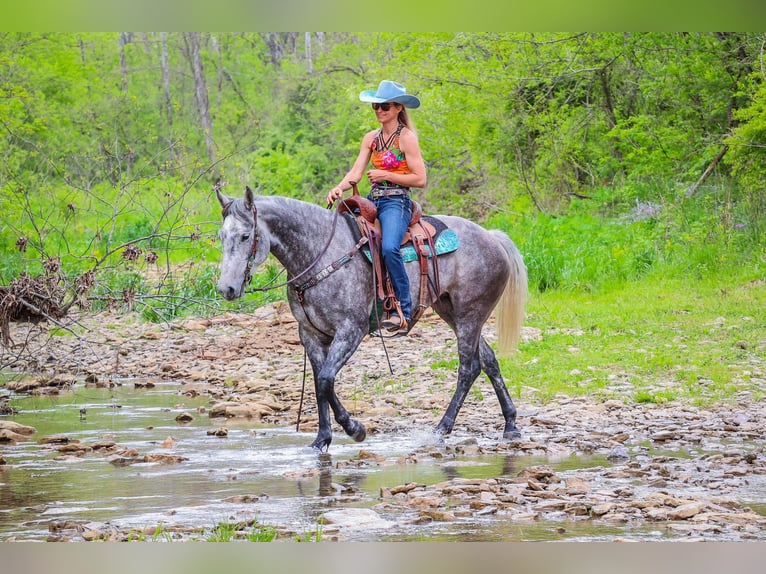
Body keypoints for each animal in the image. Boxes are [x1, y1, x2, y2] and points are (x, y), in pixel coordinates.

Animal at [216, 187, 528, 452]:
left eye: (246, 236)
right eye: (221, 236)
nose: (226, 289)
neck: (318, 254)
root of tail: (491, 237)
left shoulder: (351, 331)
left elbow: (326, 380)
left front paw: (355, 429)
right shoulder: (311, 335)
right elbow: (319, 385)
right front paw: (321, 440)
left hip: (469, 315)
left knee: (468, 367)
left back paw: (442, 428)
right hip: (452, 312)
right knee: (488, 361)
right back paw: (510, 424)